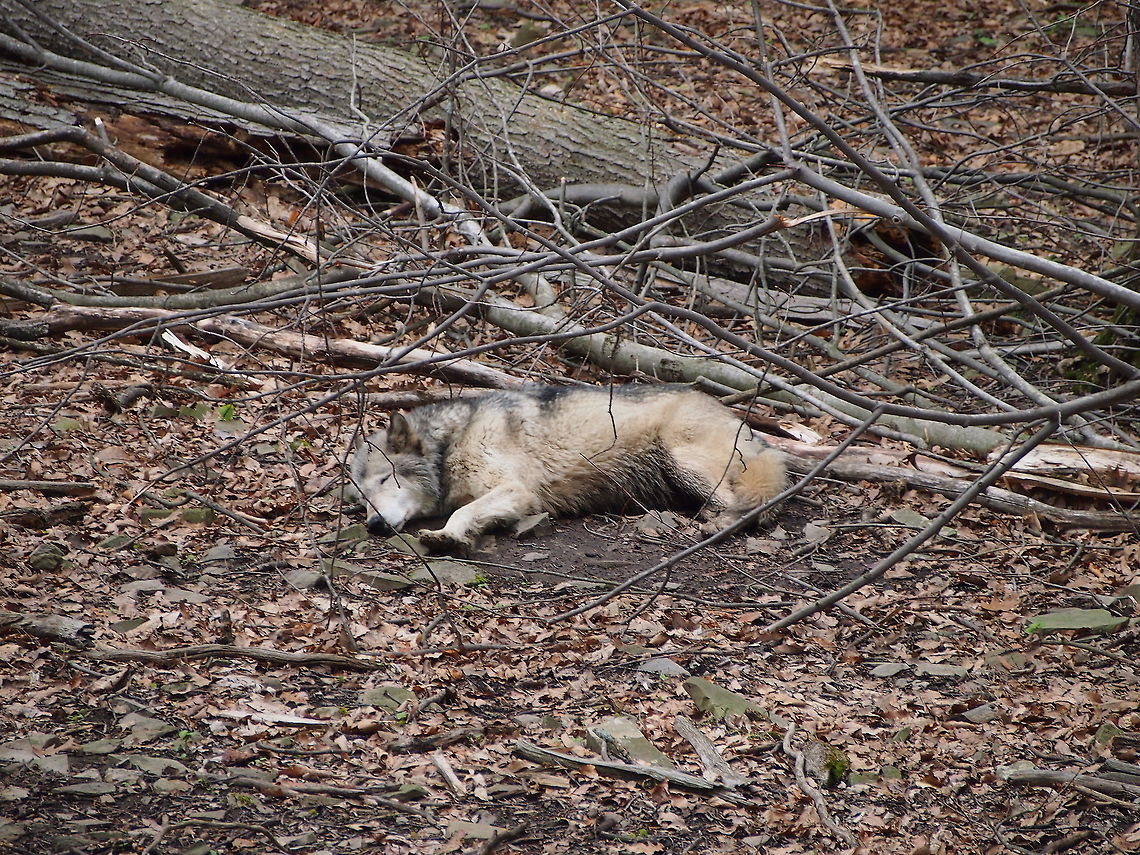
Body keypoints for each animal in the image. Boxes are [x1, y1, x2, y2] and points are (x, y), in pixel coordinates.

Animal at [348, 385, 785, 555]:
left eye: (387, 478)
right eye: (363, 497)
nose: (373, 525)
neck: (453, 442)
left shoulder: (517, 490)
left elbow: (462, 512)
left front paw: (446, 536)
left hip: (682, 460)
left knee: (755, 505)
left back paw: (718, 524)